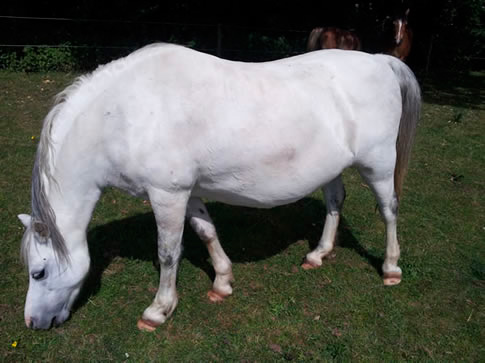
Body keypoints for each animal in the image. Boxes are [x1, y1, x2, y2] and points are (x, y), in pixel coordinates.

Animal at [18, 44, 420, 332]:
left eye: (38, 272)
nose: (33, 323)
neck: (124, 114)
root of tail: (380, 61)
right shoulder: (188, 192)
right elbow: (206, 232)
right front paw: (223, 282)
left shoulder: (167, 195)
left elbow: (169, 252)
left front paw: (158, 310)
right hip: (332, 168)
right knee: (336, 201)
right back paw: (318, 254)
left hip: (378, 164)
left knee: (389, 210)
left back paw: (391, 268)